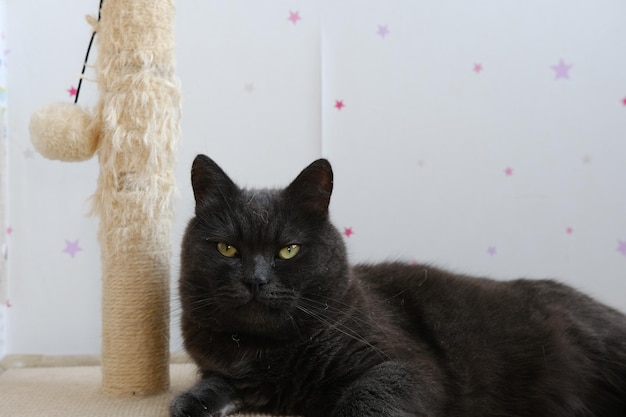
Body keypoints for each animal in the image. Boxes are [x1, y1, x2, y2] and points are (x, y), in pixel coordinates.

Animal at [171, 154, 624, 414]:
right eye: (227, 248)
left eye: (288, 250)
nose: (256, 279)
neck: (262, 349)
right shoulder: (227, 370)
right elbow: (211, 385)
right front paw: (191, 401)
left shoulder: (404, 366)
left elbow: (364, 401)